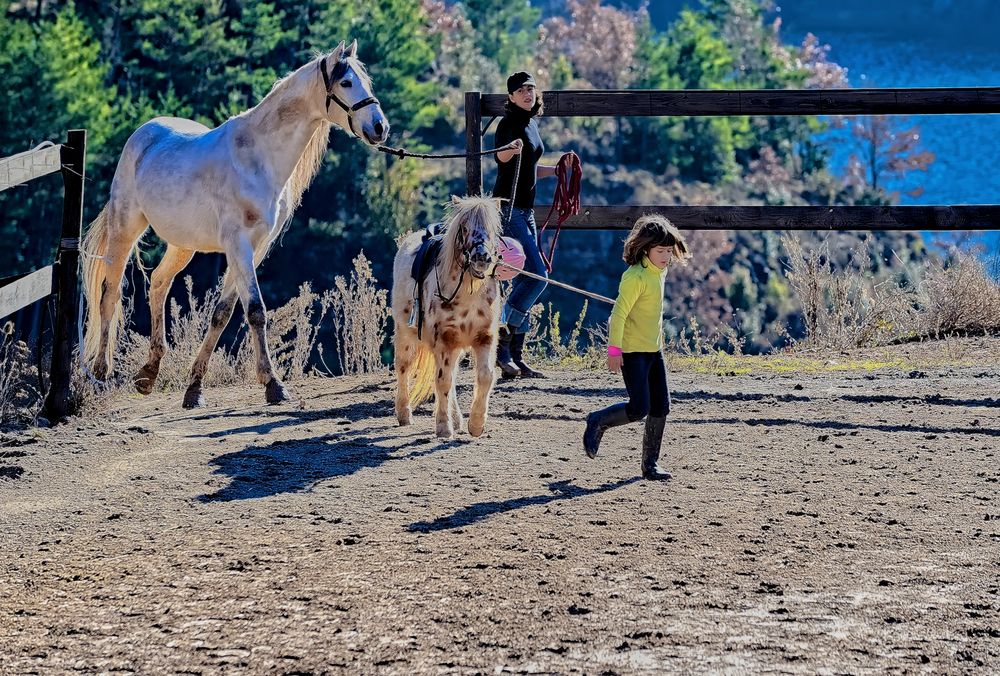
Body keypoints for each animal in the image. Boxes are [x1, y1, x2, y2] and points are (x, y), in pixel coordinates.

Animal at [82, 41, 388, 406]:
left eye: (367, 81)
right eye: (346, 82)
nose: (380, 127)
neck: (256, 158)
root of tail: (144, 133)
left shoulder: (255, 248)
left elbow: (223, 313)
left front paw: (194, 388)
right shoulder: (237, 244)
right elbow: (255, 310)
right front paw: (273, 385)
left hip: (183, 244)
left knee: (157, 283)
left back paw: (148, 373)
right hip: (124, 229)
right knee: (109, 294)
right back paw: (101, 374)